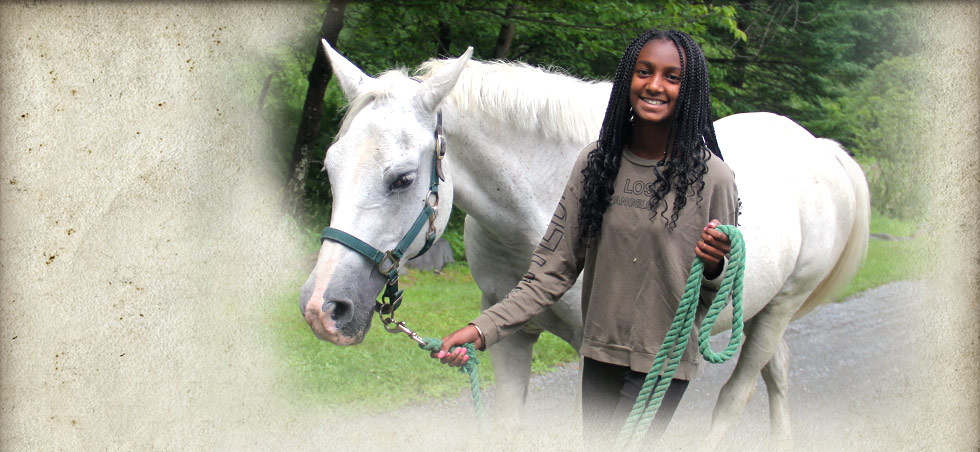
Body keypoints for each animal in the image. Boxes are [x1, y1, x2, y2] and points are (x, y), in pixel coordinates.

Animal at [302, 43, 868, 448]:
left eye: (401, 179)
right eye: (329, 168)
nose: (322, 308)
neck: (546, 197)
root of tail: (821, 149)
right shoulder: (510, 336)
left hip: (782, 306)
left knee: (735, 396)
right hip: (761, 310)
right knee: (779, 370)